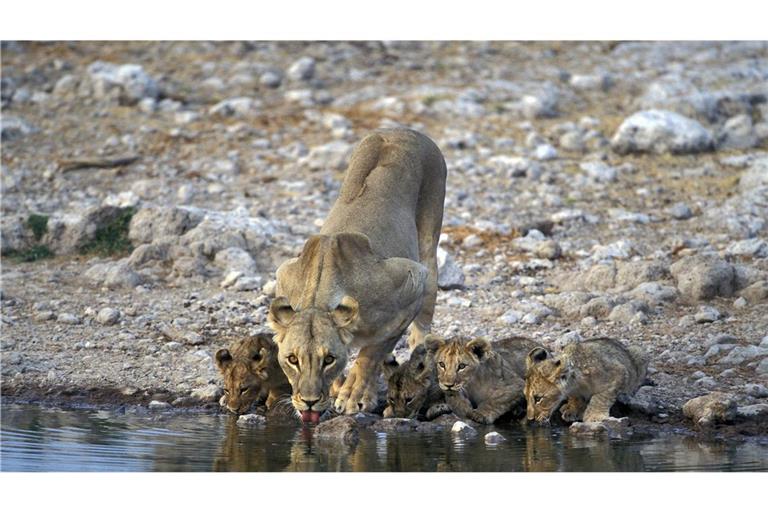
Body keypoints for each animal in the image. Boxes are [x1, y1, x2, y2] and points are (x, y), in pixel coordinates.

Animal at [268, 129, 447, 420]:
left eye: (328, 359)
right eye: (292, 359)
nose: (308, 402)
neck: (319, 295)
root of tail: (403, 130)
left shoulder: (411, 280)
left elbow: (370, 352)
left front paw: (354, 395)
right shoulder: (284, 273)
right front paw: (337, 388)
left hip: (429, 248)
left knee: (422, 327)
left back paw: (421, 361)